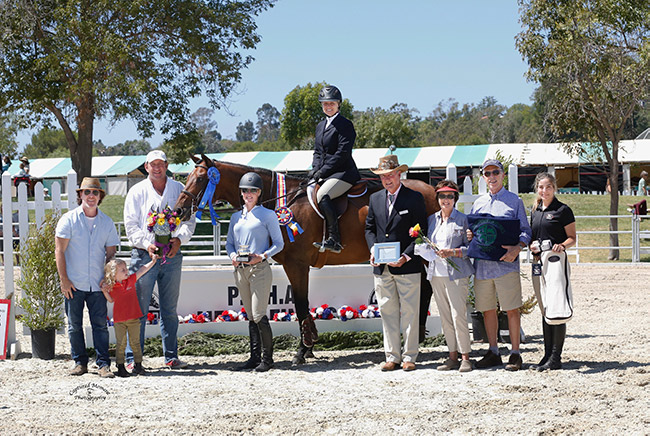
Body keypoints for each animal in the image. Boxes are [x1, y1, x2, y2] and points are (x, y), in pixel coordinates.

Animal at [172, 153, 438, 364]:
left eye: (200, 179)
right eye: (188, 177)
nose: (178, 211)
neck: (279, 200)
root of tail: (432, 189)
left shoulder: (296, 265)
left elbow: (300, 305)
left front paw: (303, 350)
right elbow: (302, 305)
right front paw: (309, 346)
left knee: (426, 290)